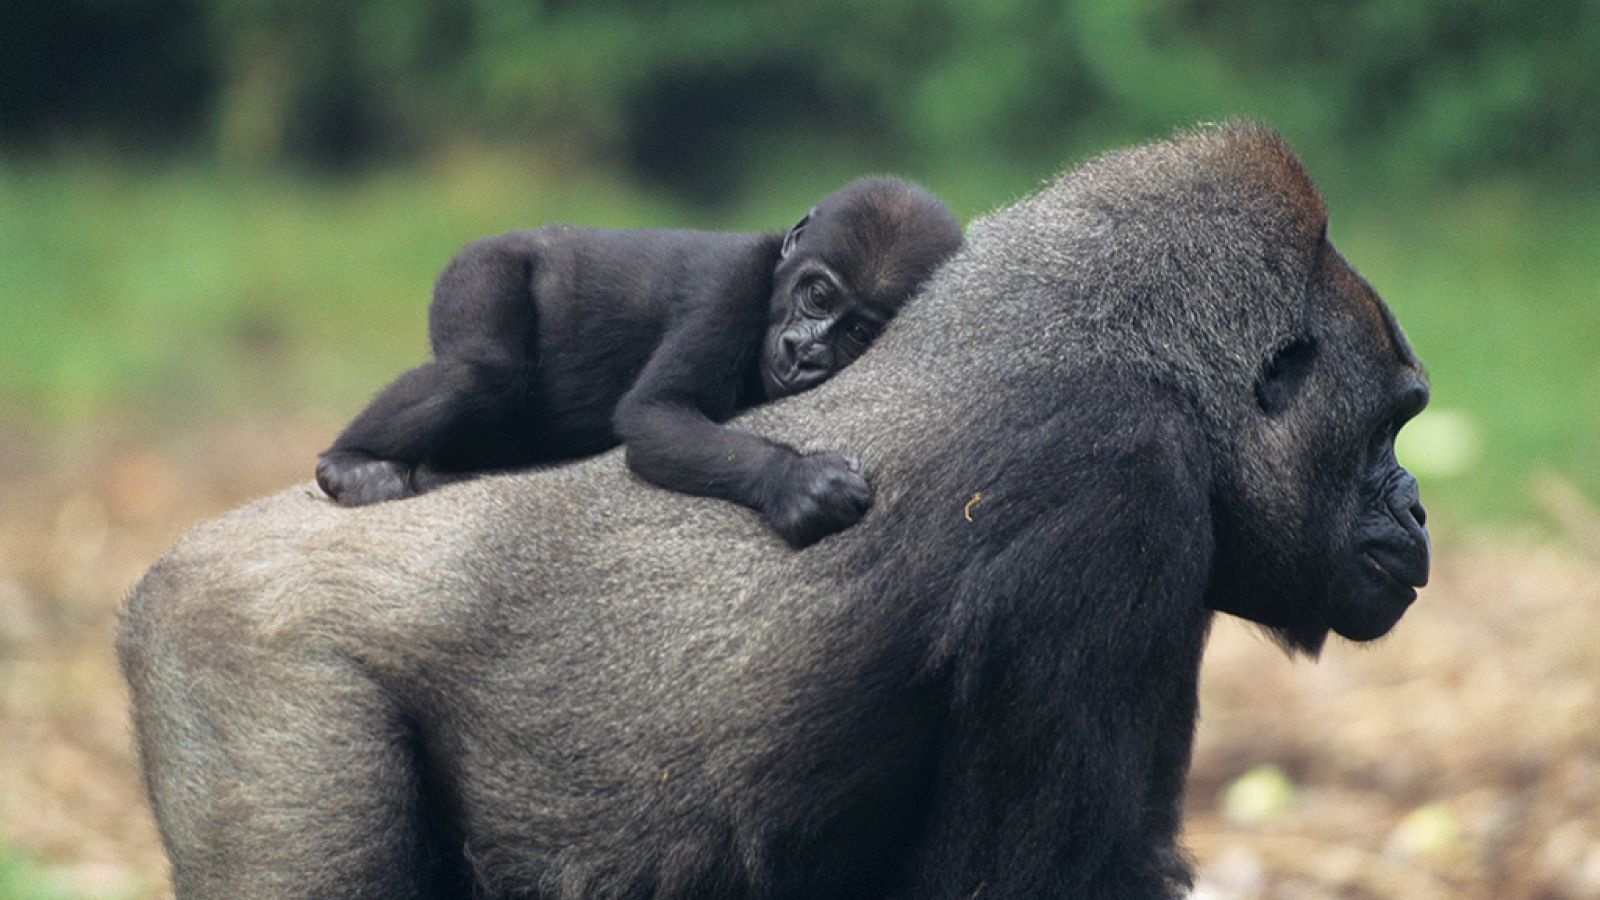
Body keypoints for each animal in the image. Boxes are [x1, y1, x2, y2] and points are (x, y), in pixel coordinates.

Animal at [316, 173, 953, 538]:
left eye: (857, 332)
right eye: (817, 295)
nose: (804, 352)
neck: (778, 278)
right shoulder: (729, 288)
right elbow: (654, 412)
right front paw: (797, 481)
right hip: (480, 265)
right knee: (480, 371)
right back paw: (348, 463)